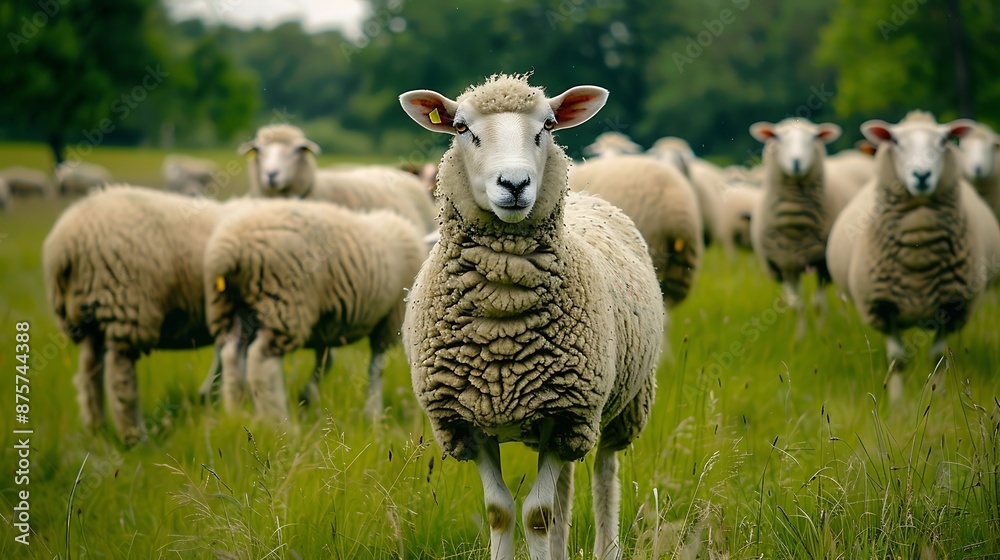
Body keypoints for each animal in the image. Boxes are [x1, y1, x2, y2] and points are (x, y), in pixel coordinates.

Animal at [43, 185, 234, 445]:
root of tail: (62, 247)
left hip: (92, 318)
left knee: (89, 373)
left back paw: (97, 431)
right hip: (125, 305)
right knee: (119, 381)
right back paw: (136, 439)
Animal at [204, 199, 427, 421]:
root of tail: (231, 250)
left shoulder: (328, 326)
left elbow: (326, 361)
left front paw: (308, 400)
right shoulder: (390, 320)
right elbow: (376, 367)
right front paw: (373, 413)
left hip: (231, 308)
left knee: (232, 355)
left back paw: (236, 414)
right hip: (284, 303)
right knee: (262, 362)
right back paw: (278, 422)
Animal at [399, 73, 664, 560]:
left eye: (548, 125)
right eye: (461, 127)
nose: (515, 183)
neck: (503, 317)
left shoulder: (570, 412)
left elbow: (537, 515)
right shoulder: (467, 422)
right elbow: (501, 511)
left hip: (619, 406)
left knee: (604, 472)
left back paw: (606, 546)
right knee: (564, 490)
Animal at [748, 117, 850, 338]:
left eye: (814, 137)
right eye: (777, 137)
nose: (796, 162)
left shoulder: (822, 264)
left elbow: (819, 305)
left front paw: (821, 335)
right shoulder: (785, 264)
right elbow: (798, 307)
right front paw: (800, 338)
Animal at [827, 113, 1000, 377]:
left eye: (944, 140)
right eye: (896, 141)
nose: (922, 175)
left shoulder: (951, 308)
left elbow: (938, 359)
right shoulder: (883, 308)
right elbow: (897, 362)